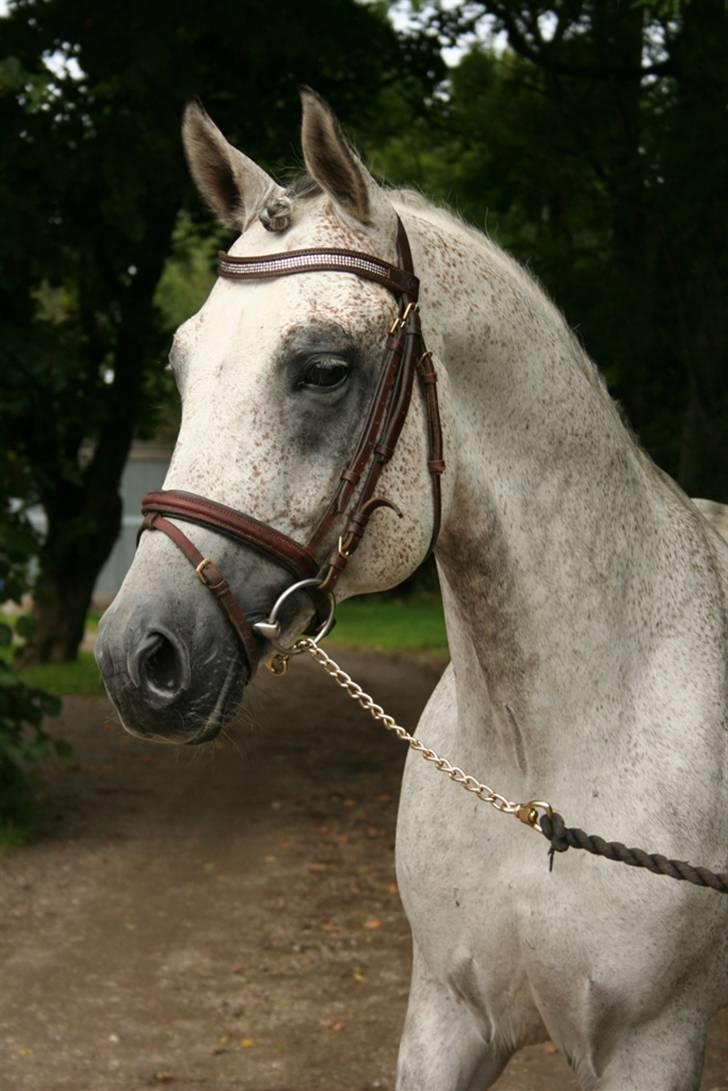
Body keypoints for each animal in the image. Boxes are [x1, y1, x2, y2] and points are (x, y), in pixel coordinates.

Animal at [96, 89, 728, 1086]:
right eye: (181, 364)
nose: (136, 659)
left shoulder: (652, 1044)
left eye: (324, 368)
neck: (536, 766)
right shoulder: (445, 1017)